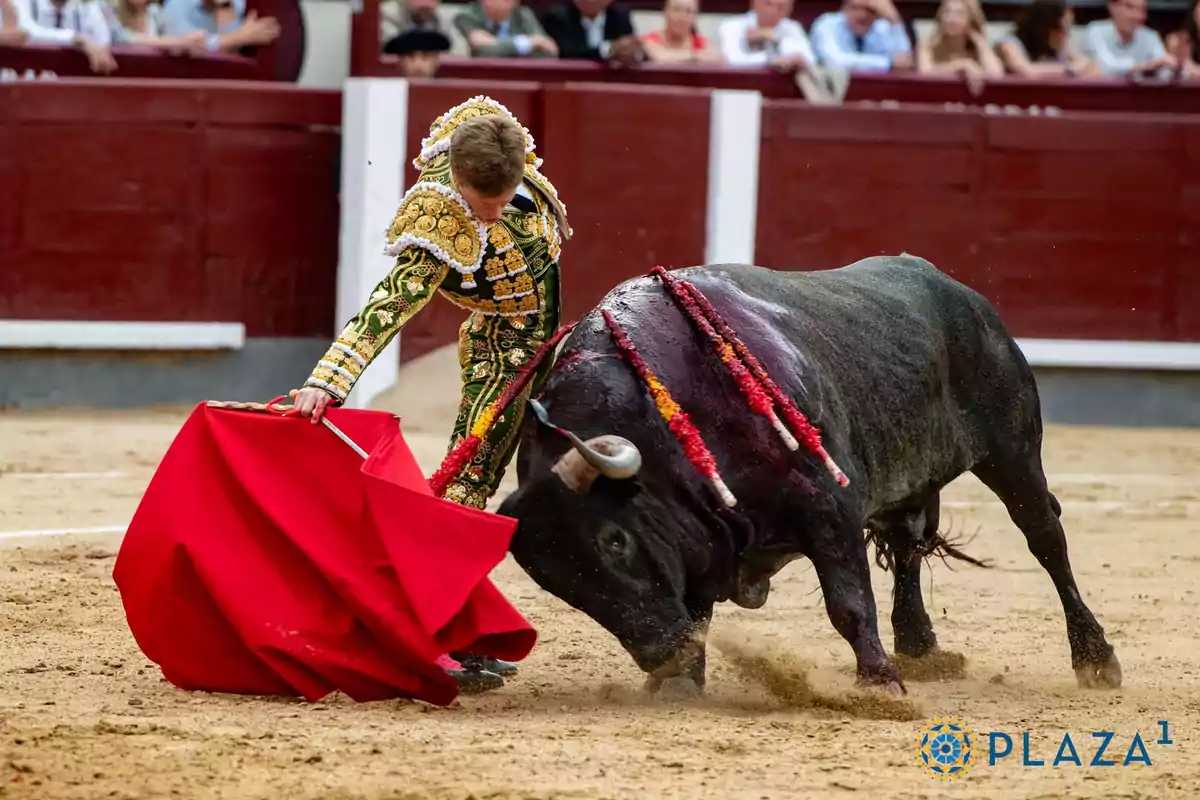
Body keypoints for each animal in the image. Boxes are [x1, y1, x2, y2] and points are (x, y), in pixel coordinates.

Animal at [494, 255, 1113, 695]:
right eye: (555, 581)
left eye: (614, 540)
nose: (660, 652)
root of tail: (963, 294)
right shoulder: (698, 533)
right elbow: (698, 604)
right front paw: (679, 684)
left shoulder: (829, 505)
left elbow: (848, 602)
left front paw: (880, 685)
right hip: (907, 472)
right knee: (907, 545)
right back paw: (920, 646)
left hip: (1013, 451)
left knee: (1045, 539)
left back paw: (1096, 658)